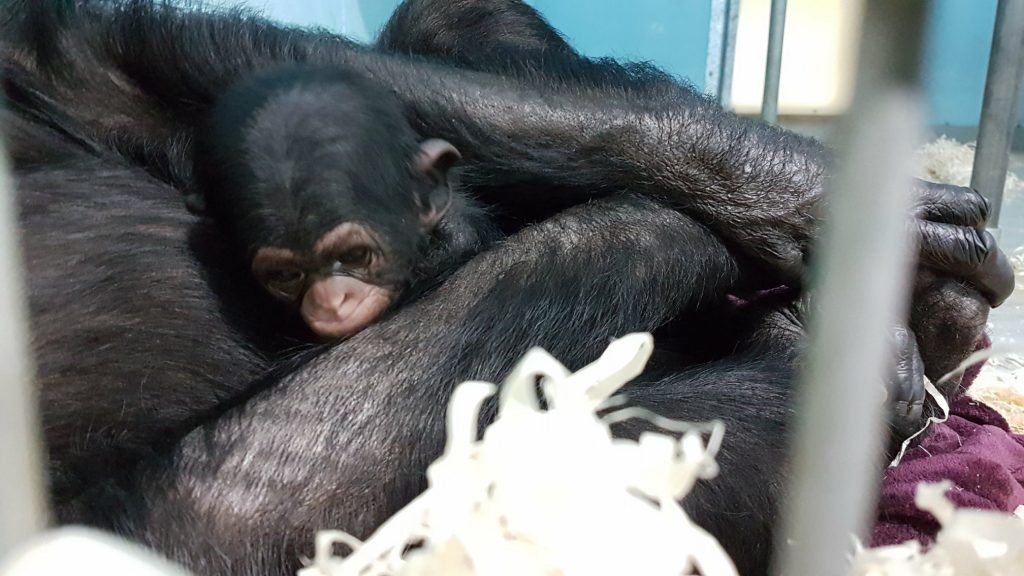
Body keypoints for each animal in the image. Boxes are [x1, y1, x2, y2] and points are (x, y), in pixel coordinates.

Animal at [0, 1, 1007, 573]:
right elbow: (221, 512)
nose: (332, 296)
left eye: (352, 258)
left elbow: (110, 62)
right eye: (293, 271)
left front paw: (787, 185)